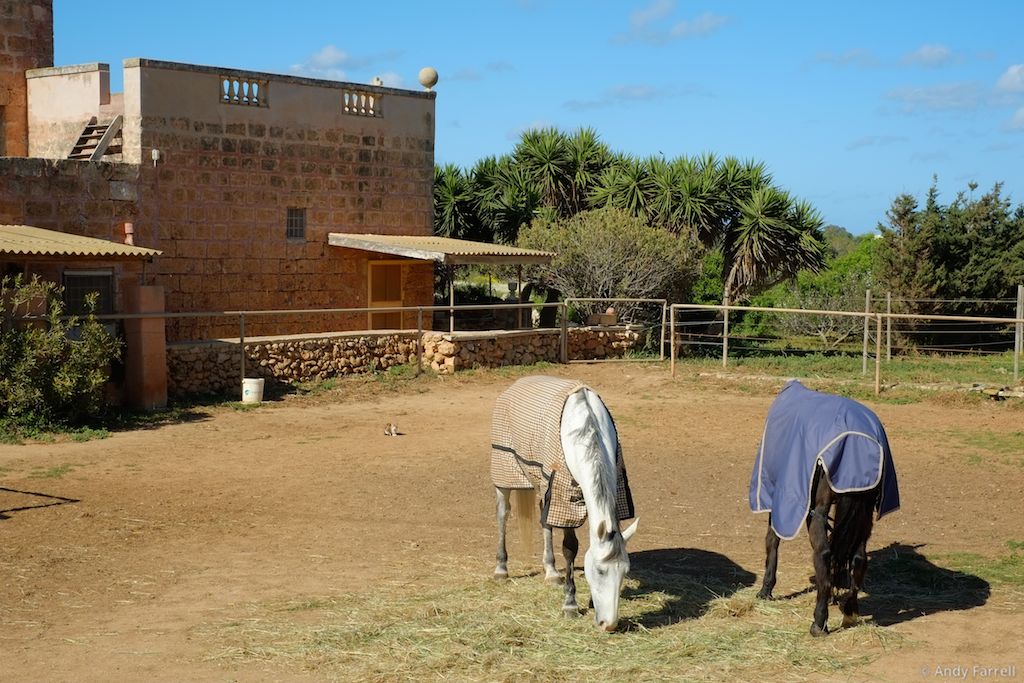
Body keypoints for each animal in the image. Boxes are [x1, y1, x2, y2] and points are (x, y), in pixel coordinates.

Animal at [489, 376, 638, 634]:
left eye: (625, 571)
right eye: (600, 571)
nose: (608, 625)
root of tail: (516, 384)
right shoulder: (564, 496)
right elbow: (570, 548)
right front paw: (570, 604)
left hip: (543, 482)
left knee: (545, 521)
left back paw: (551, 572)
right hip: (505, 470)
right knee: (503, 515)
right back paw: (501, 569)